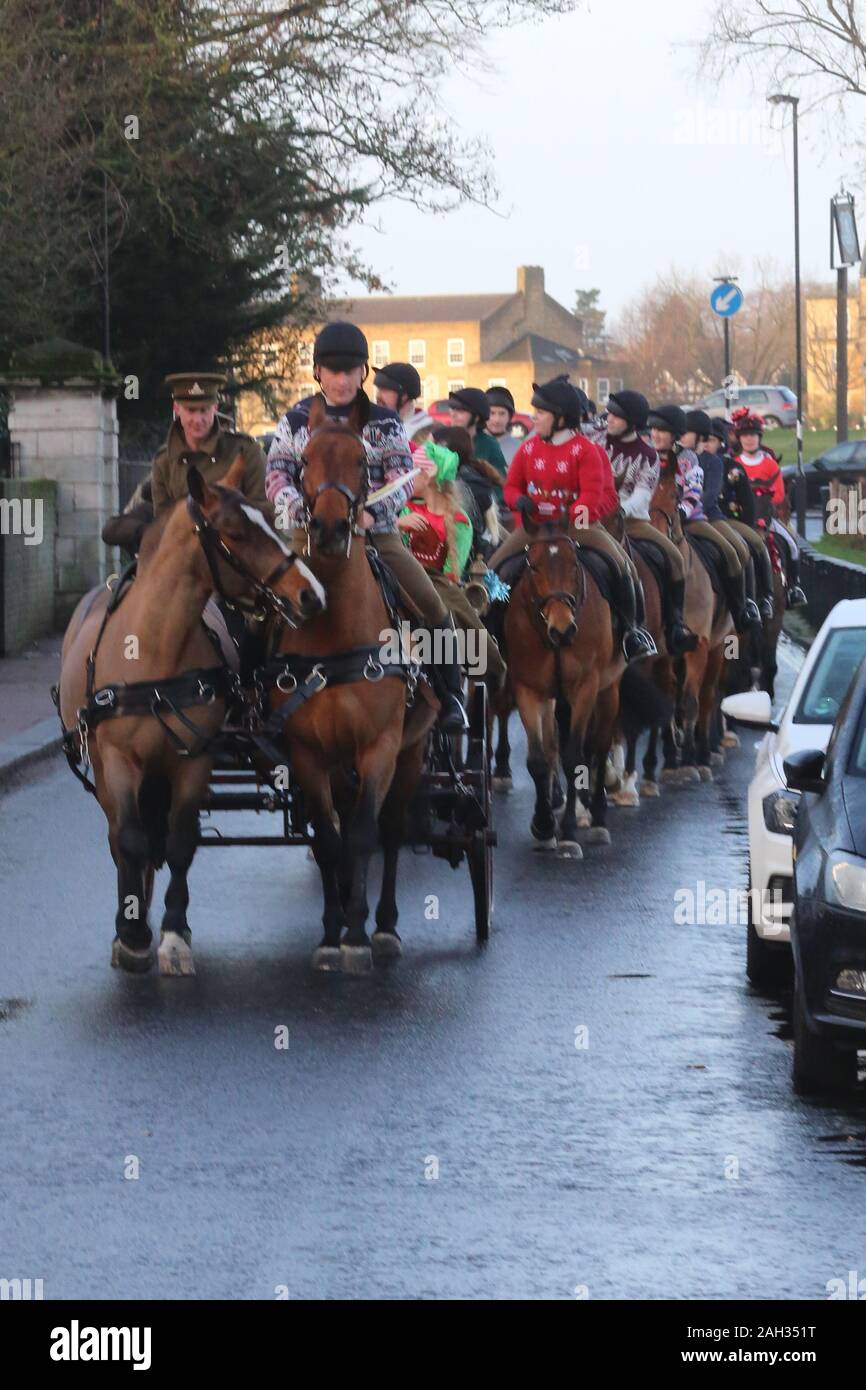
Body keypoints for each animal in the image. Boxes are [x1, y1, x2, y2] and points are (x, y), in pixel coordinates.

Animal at [57, 458, 323, 978]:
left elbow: (180, 842)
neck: (154, 648)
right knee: (121, 834)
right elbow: (131, 839)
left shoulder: (193, 758)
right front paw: (133, 935)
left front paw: (175, 935)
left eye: (268, 517)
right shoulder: (117, 759)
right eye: (236, 533)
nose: (311, 593)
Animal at [264, 397, 436, 973]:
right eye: (303, 462)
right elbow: (328, 839)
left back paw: (383, 923)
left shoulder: (379, 745)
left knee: (393, 829)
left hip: (411, 751)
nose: (332, 527)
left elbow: (363, 835)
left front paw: (359, 935)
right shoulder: (308, 753)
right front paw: (331, 930)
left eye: (363, 461)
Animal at [500, 525, 622, 850]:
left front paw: (567, 832)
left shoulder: (585, 688)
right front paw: (543, 825)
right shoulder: (528, 689)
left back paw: (598, 816)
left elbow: (573, 757)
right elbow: (538, 760)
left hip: (607, 689)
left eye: (574, 565)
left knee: (599, 744)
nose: (563, 629)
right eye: (533, 566)